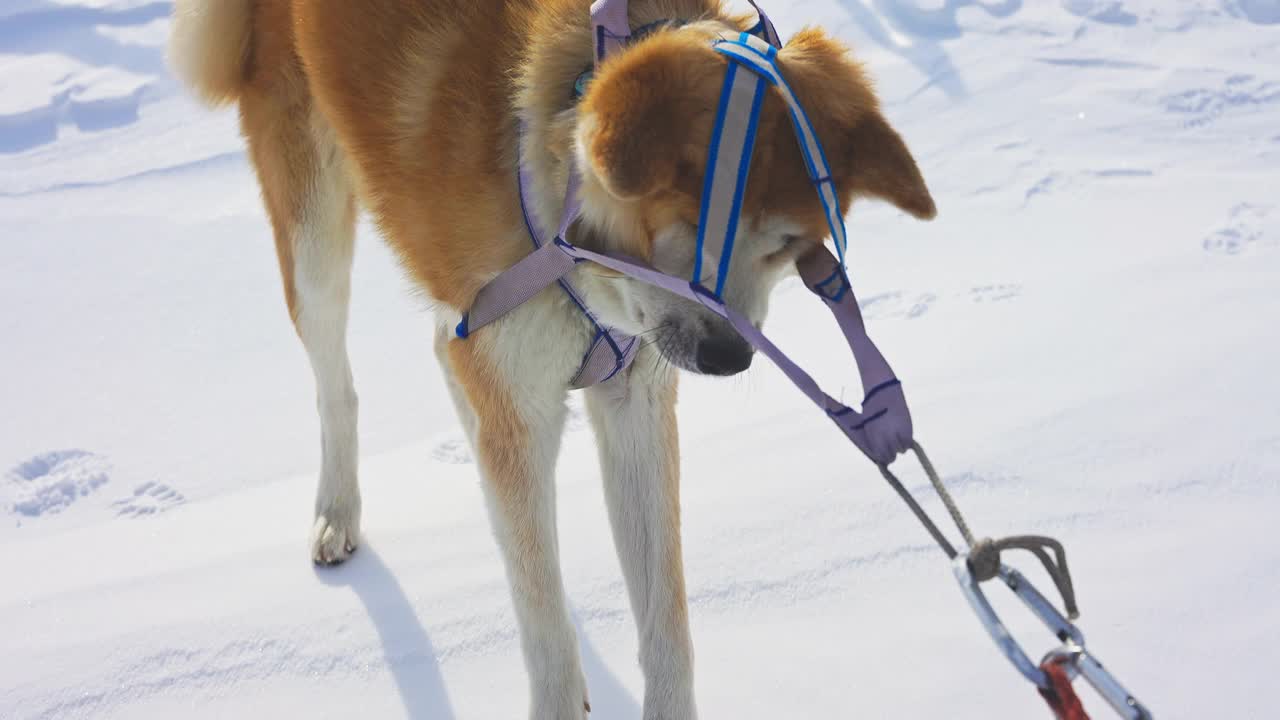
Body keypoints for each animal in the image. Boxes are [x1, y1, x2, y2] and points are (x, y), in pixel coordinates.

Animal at [167, 2, 931, 712]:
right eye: (688, 224)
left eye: (787, 246)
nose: (730, 354)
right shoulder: (525, 407)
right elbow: (544, 628)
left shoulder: (630, 396)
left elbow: (665, 622)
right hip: (314, 236)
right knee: (338, 382)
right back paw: (337, 510)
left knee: (446, 358)